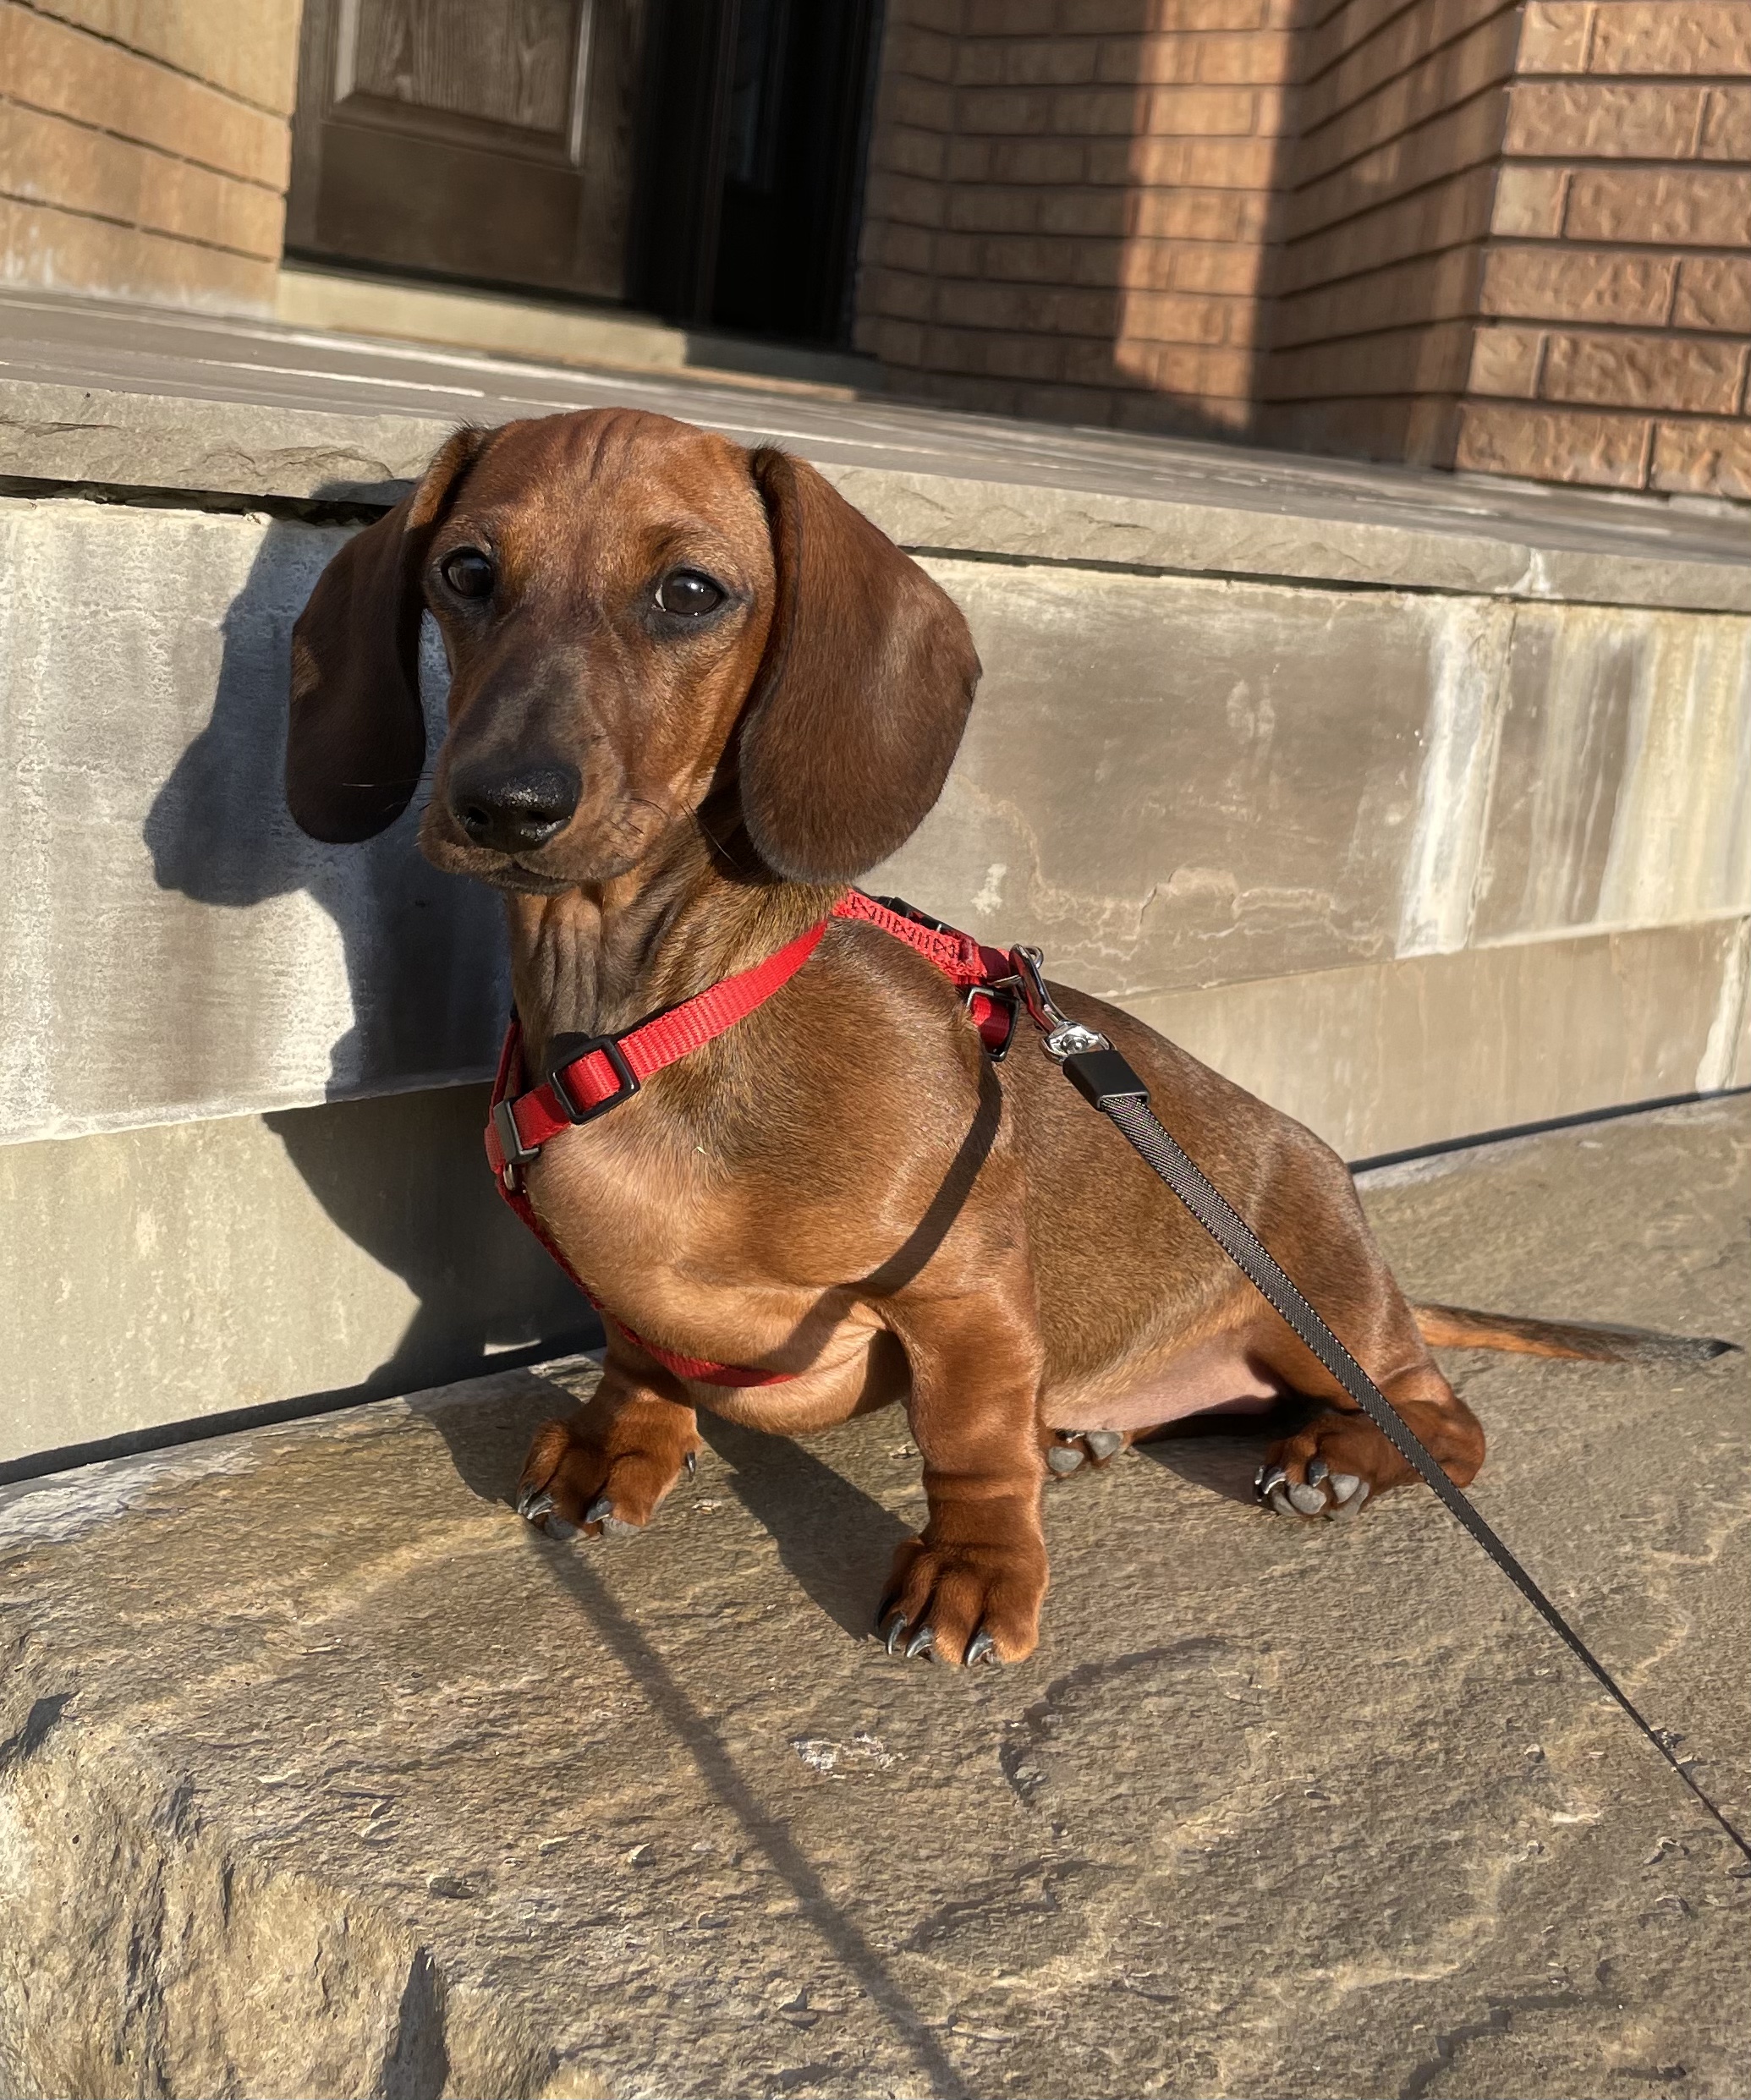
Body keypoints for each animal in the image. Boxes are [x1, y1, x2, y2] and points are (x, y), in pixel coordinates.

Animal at [285, 407, 1731, 1667]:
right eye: (467, 571)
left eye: (690, 592)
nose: (505, 802)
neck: (665, 1012)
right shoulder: (630, 1288)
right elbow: (637, 1355)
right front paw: (615, 1440)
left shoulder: (963, 1291)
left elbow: (967, 1446)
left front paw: (975, 1566)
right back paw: (1086, 1432)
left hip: (1316, 1298)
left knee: (1440, 1417)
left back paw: (1331, 1457)